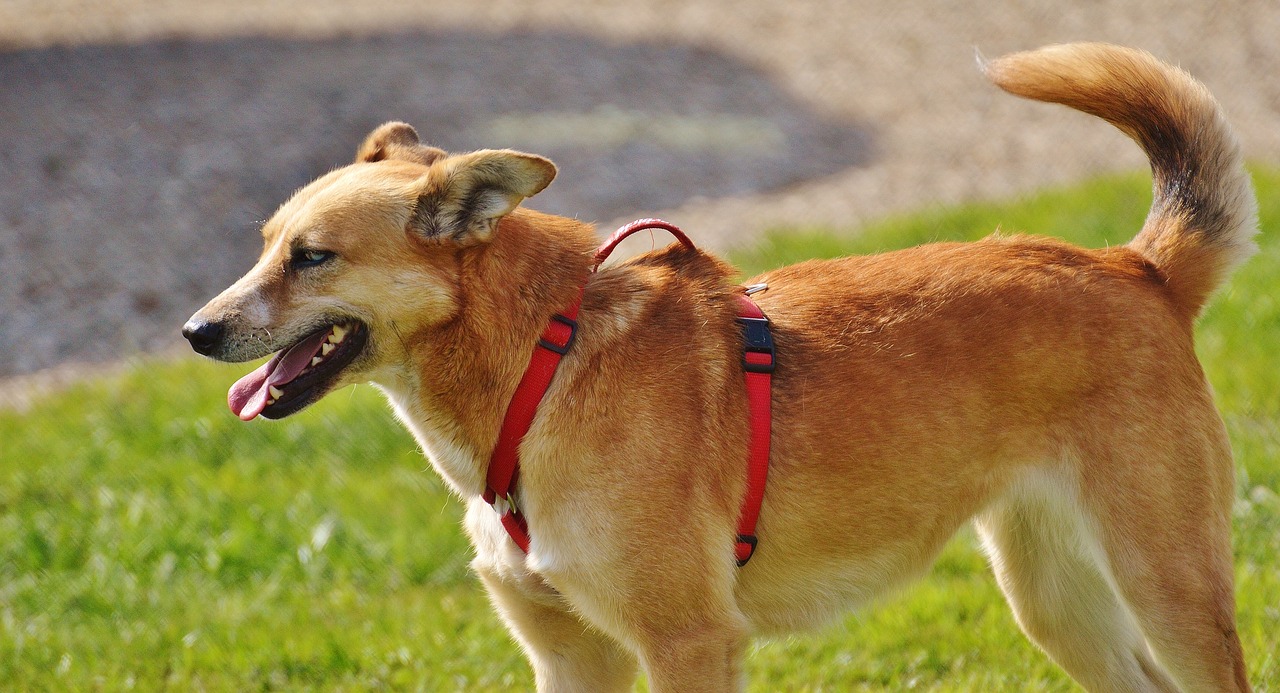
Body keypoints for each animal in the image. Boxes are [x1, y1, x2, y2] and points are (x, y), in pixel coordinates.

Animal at [185, 44, 1254, 691]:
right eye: (265, 243)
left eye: (312, 257)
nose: (196, 331)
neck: (544, 370)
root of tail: (1137, 267)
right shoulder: (569, 656)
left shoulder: (689, 642)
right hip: (1056, 599)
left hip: (1167, 582)